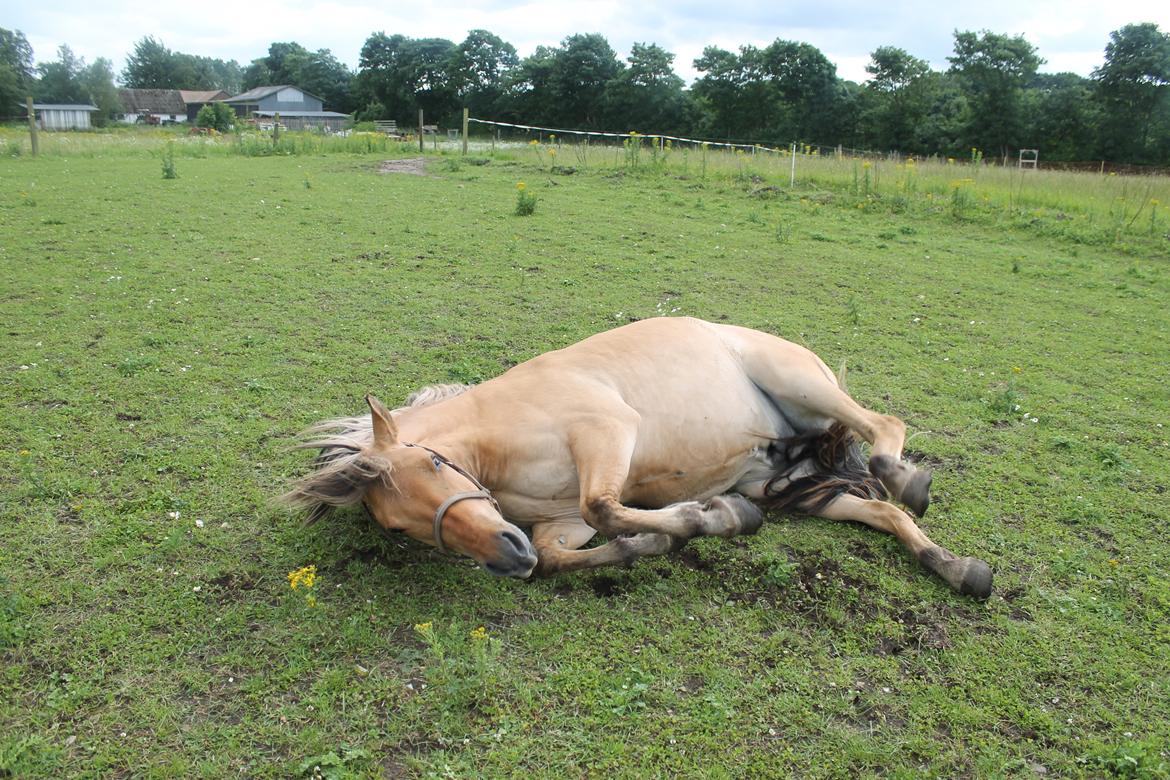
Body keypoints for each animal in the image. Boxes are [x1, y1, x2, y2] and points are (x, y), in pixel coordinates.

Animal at [278, 318, 992, 598]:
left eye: (433, 465)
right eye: (400, 530)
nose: (507, 554)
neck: (497, 432)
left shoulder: (608, 432)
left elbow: (608, 505)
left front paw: (710, 519)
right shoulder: (558, 522)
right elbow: (567, 552)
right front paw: (662, 539)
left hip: (802, 386)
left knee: (884, 430)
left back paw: (908, 478)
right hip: (784, 484)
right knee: (883, 513)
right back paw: (959, 570)